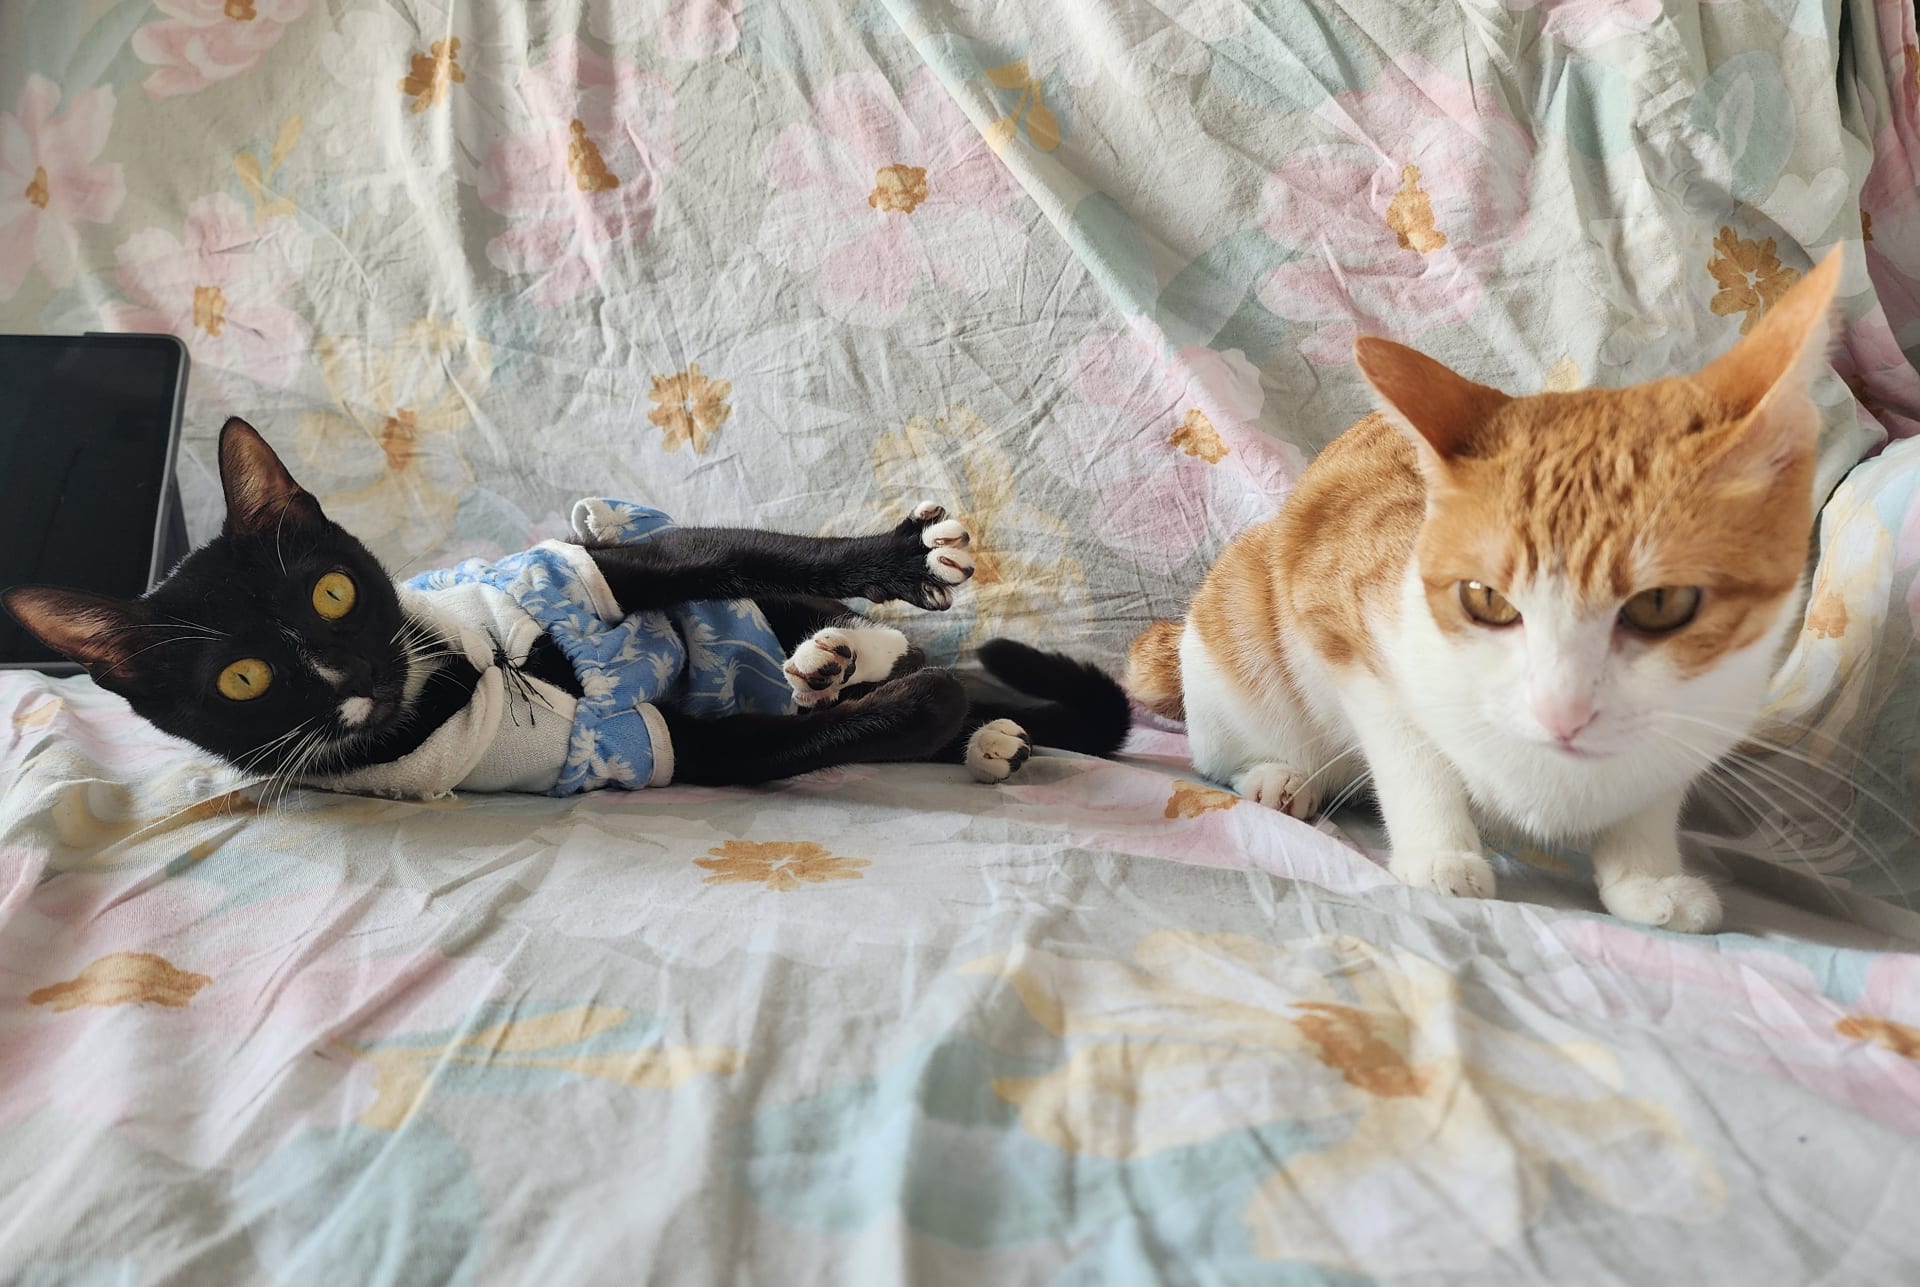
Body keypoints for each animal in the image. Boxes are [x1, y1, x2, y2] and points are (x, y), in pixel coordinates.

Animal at [6, 418, 1129, 798]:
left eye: (331, 590)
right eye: (243, 679)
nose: (356, 675)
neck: (466, 677)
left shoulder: (595, 564)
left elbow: (734, 547)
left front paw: (899, 555)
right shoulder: (657, 745)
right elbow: (836, 731)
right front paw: (930, 709)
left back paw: (851, 650)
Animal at [1126, 249, 1843, 933]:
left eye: (1661, 603)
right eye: (1487, 599)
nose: (1561, 709)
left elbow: (1651, 797)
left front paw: (1647, 877)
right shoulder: (1345, 614)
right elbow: (1407, 744)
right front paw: (1439, 851)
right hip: (1237, 634)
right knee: (1226, 741)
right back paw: (1276, 776)